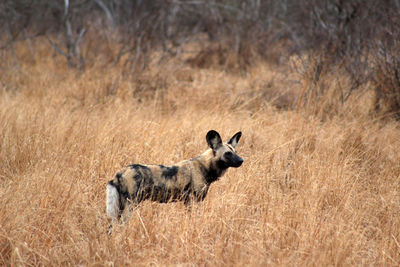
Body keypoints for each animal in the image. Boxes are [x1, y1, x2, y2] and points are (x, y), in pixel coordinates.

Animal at [106, 130, 242, 228]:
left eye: (235, 151)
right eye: (227, 153)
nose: (241, 160)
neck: (205, 166)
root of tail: (118, 174)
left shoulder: (187, 202)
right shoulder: (193, 201)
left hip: (120, 208)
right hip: (130, 206)